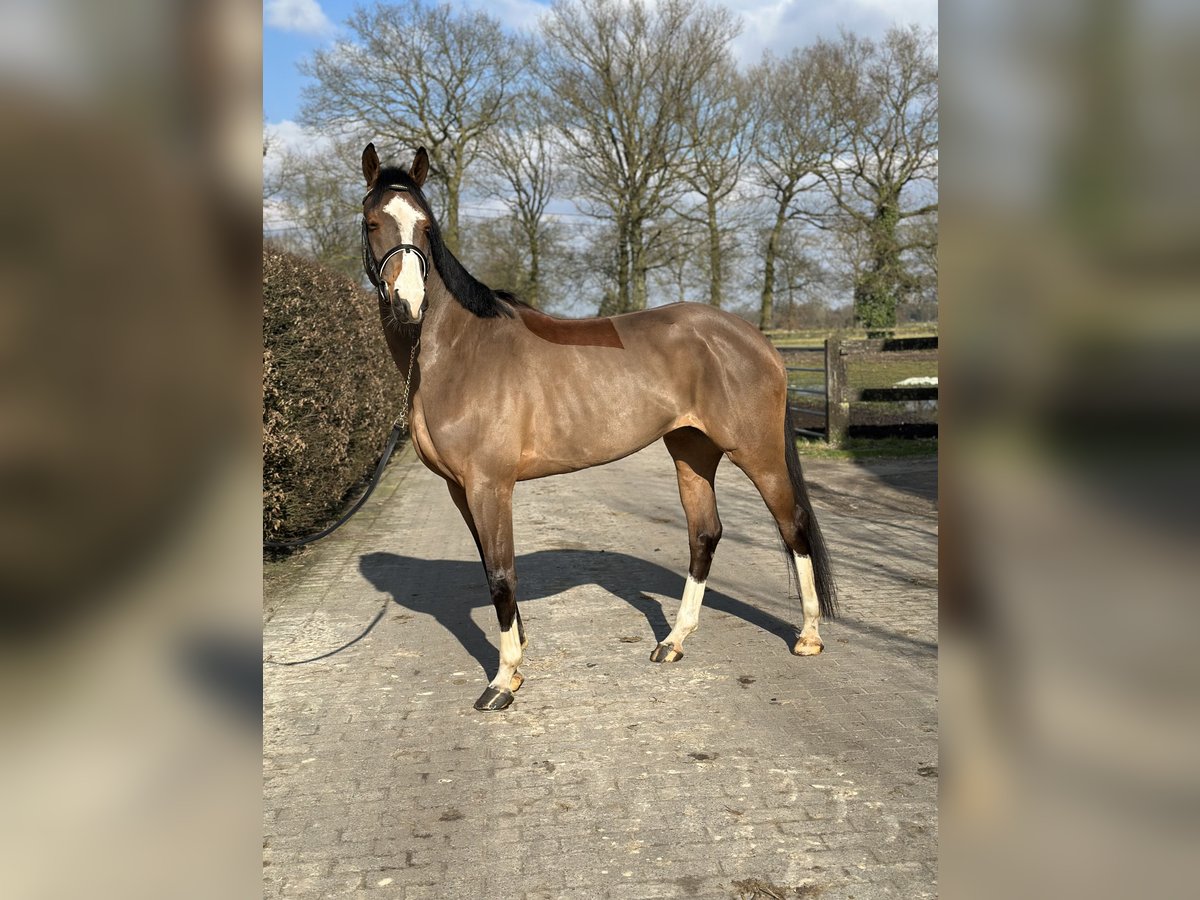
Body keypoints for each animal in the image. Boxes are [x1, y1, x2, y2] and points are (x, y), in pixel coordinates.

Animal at [360, 146, 840, 710]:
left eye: (426, 226)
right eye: (372, 223)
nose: (409, 303)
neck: (457, 354)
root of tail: (755, 339)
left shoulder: (489, 485)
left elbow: (501, 574)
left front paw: (503, 680)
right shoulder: (462, 490)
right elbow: (490, 569)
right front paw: (516, 665)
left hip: (757, 452)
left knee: (793, 526)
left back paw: (808, 636)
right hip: (692, 451)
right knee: (704, 534)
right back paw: (673, 642)